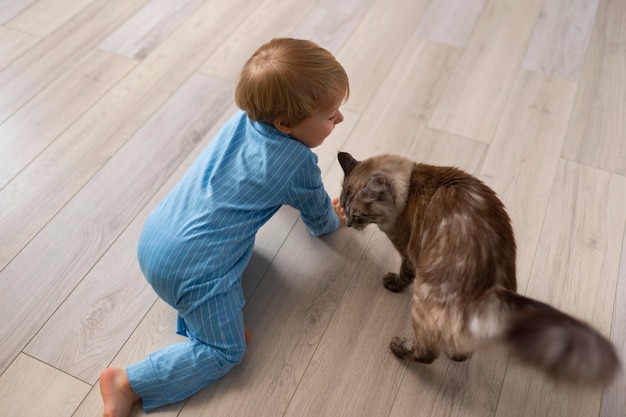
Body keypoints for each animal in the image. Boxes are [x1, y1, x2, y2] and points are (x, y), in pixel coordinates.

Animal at [336, 151, 620, 386]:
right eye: (344, 209)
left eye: (357, 215)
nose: (347, 224)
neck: (411, 185)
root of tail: (490, 285)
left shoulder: (407, 252)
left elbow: (404, 274)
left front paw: (392, 283)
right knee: (462, 352)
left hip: (424, 298)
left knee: (428, 353)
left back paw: (399, 347)